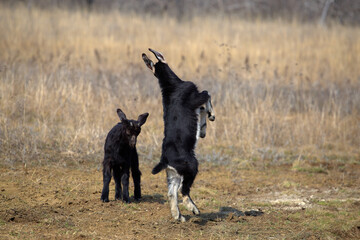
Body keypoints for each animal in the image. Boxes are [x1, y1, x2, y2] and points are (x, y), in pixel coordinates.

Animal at [141, 48, 215, 223]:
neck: (172, 86)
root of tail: (164, 160)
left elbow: (203, 108)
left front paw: (202, 130)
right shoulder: (197, 97)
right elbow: (207, 94)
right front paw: (211, 116)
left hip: (173, 173)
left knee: (171, 192)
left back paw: (178, 216)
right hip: (191, 167)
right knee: (183, 190)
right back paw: (193, 209)